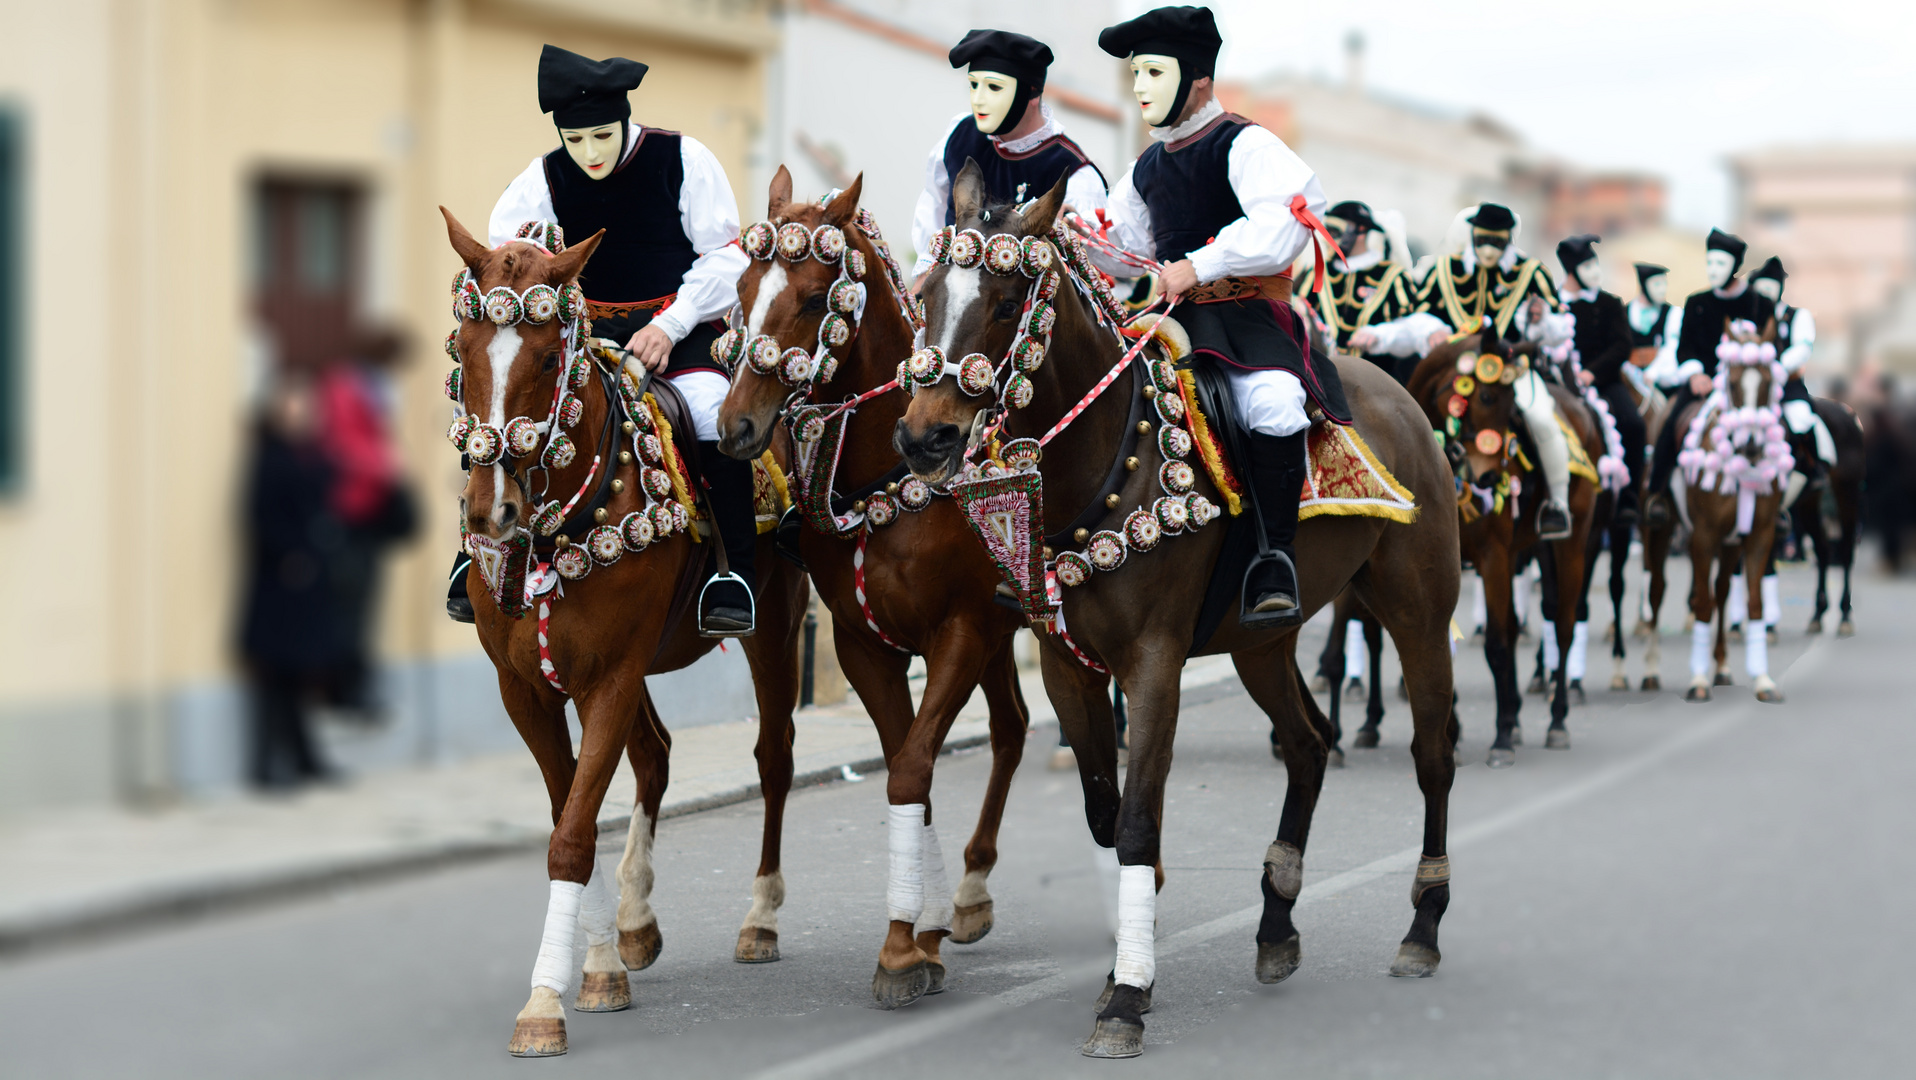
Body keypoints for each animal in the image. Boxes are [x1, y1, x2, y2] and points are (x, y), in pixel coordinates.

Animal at [440, 208, 808, 1057]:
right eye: (461, 352)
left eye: (548, 357)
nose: (490, 511)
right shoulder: (529, 690)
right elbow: (569, 814)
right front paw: (603, 960)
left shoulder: (607, 677)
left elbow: (574, 832)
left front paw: (546, 1001)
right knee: (657, 756)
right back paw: (636, 923)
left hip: (773, 628)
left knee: (773, 757)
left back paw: (761, 919)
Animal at [712, 168, 1034, 1011]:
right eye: (744, 287)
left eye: (812, 296)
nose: (735, 426)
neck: (889, 481)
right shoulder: (864, 644)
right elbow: (902, 770)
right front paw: (915, 935)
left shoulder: (962, 629)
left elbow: (914, 765)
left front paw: (901, 950)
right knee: (1014, 725)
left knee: (1021, 727)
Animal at [889, 164, 1456, 1057]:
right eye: (927, 294)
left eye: (1009, 301)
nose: (924, 440)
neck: (1103, 466)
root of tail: (1402, 397)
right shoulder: (1067, 666)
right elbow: (1102, 812)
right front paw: (1127, 962)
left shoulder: (1153, 663)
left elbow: (1136, 820)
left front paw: (1125, 998)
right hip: (1263, 643)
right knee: (1307, 744)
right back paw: (1276, 923)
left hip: (1419, 614)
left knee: (1432, 756)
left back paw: (1422, 927)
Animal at [1402, 333, 1609, 762]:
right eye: (1484, 397)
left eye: (1513, 403)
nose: (1488, 478)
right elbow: (1443, 644)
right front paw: (1453, 730)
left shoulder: (1493, 556)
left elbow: (1496, 645)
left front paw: (1498, 739)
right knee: (1518, 626)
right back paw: (1514, 716)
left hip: (1571, 544)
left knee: (1563, 624)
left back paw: (1556, 720)